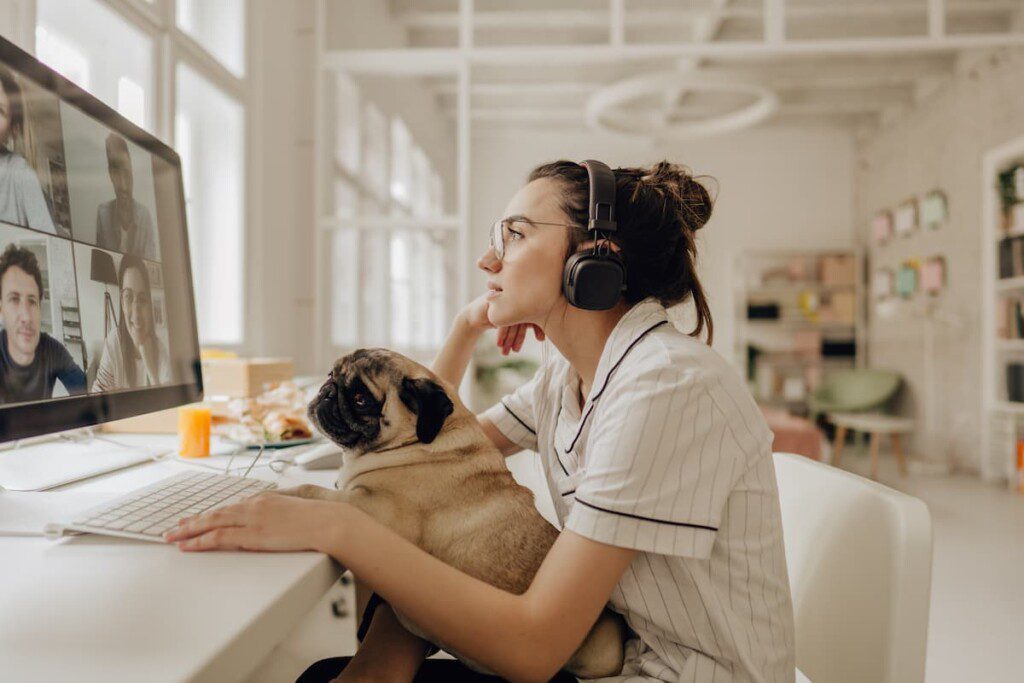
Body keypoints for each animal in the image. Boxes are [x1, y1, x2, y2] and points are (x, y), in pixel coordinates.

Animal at [280, 350, 622, 679]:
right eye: (331, 375)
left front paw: (281, 496)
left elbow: (315, 492)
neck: (415, 443)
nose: (326, 390)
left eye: (361, 398)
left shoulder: (372, 512)